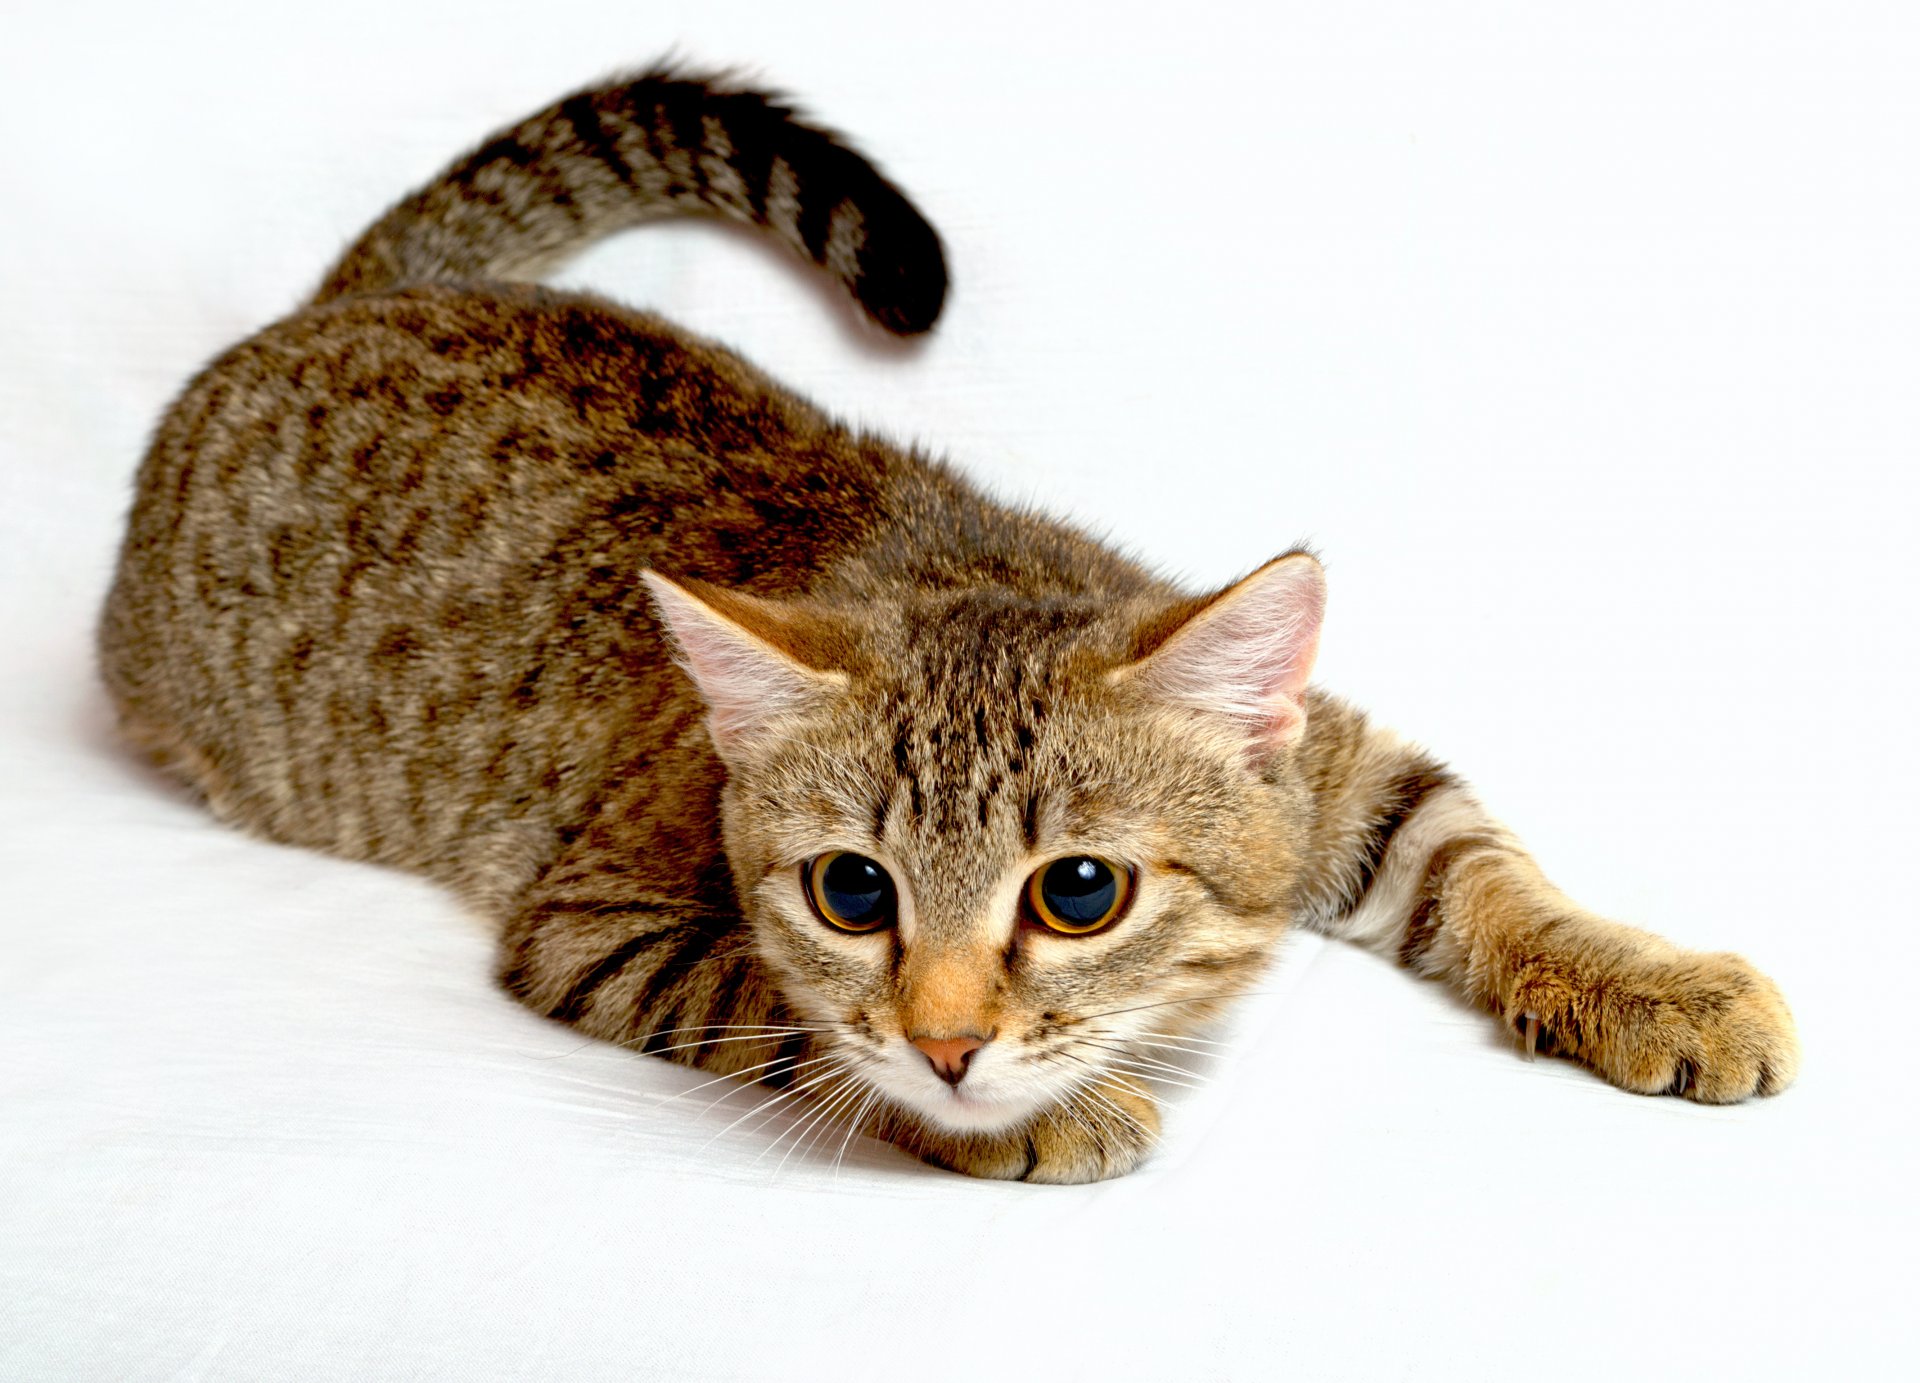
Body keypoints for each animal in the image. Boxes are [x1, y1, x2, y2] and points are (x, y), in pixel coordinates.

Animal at [93, 70, 1797, 1183]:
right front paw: (1026, 1108)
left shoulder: (1335, 763)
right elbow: (777, 1010)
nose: (953, 1042)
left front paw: (1653, 982)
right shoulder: (597, 921)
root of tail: (342, 298)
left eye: (1081, 890)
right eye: (853, 889)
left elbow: (1477, 858)